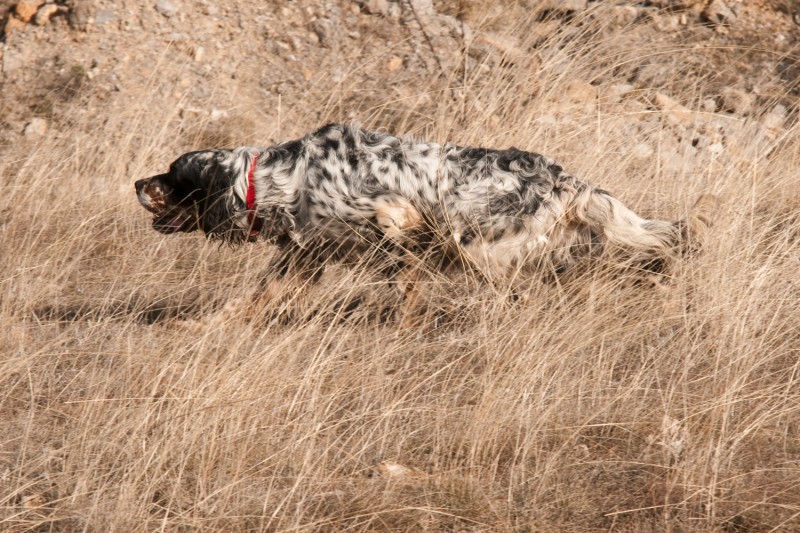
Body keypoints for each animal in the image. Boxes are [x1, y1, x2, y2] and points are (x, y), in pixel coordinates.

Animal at [136, 122, 712, 316]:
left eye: (172, 175)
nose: (137, 184)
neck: (280, 181)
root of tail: (563, 178)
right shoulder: (306, 255)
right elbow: (252, 300)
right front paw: (207, 325)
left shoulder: (401, 219)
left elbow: (403, 250)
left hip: (485, 244)